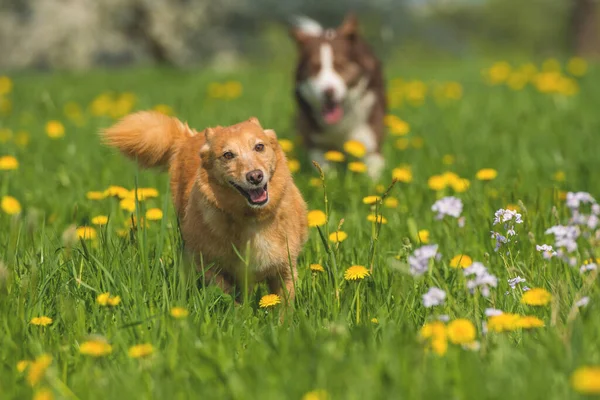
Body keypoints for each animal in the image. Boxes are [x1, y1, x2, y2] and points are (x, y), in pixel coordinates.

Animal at [102, 110, 308, 304]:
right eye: (228, 155)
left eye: (259, 147)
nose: (255, 176)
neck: (252, 218)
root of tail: (190, 136)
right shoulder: (208, 265)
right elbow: (230, 297)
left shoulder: (285, 270)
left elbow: (284, 309)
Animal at [290, 14, 384, 178]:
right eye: (315, 68)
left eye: (340, 66)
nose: (328, 92)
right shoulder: (316, 139)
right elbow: (323, 167)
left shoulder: (370, 132)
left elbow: (373, 162)